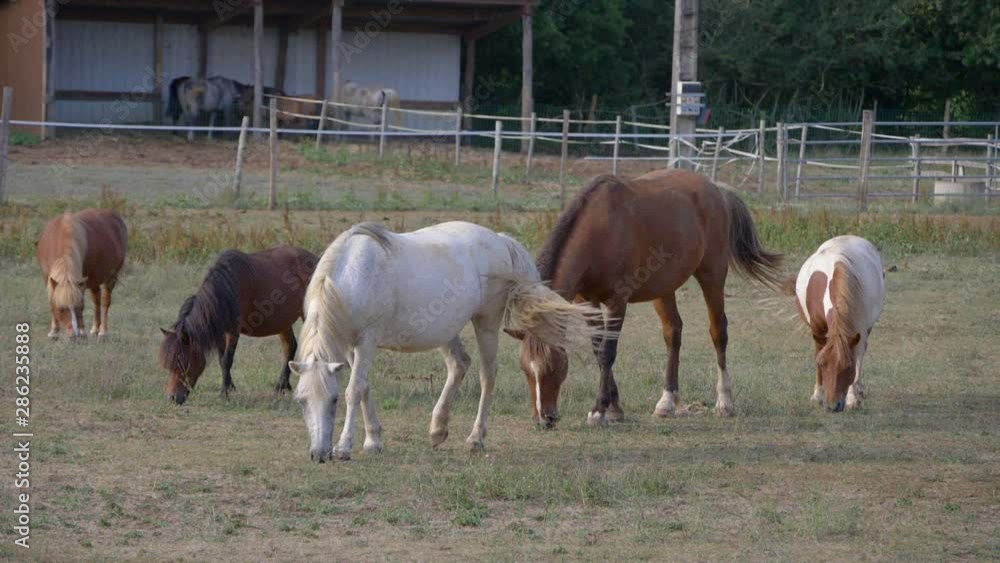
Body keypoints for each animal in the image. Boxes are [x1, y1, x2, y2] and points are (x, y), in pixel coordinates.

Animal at [36, 209, 128, 339]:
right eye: (62, 309)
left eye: (79, 307)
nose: (74, 335)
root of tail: (116, 218)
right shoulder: (47, 278)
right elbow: (52, 302)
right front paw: (53, 331)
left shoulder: (81, 281)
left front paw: (82, 330)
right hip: (94, 280)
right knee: (96, 300)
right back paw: (95, 329)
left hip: (111, 277)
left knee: (105, 301)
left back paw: (102, 331)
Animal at [159, 246, 317, 405]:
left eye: (182, 363)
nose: (172, 398)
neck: (227, 288)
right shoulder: (221, 332)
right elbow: (221, 359)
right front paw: (230, 387)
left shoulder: (233, 331)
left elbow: (226, 360)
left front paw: (224, 393)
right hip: (283, 322)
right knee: (290, 347)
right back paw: (282, 386)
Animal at [290, 222, 604, 462]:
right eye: (301, 401)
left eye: (332, 401)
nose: (318, 454)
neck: (355, 273)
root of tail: (500, 240)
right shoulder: (350, 347)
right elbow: (365, 388)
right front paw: (373, 440)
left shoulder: (367, 341)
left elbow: (354, 390)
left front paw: (344, 447)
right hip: (446, 331)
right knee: (459, 365)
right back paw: (437, 429)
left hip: (486, 323)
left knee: (487, 375)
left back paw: (476, 438)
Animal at [505, 169, 784, 427]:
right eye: (525, 369)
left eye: (553, 365)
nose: (544, 419)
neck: (599, 230)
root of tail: (715, 188)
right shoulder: (586, 302)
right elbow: (597, 348)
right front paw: (615, 408)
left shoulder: (617, 302)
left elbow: (607, 352)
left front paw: (599, 410)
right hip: (664, 288)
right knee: (673, 332)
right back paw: (668, 401)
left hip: (712, 274)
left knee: (718, 331)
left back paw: (725, 401)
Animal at [790, 235, 885, 412]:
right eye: (822, 364)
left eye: (847, 367)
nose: (832, 406)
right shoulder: (817, 330)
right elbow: (818, 351)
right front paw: (817, 395)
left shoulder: (859, 330)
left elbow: (857, 360)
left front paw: (852, 399)